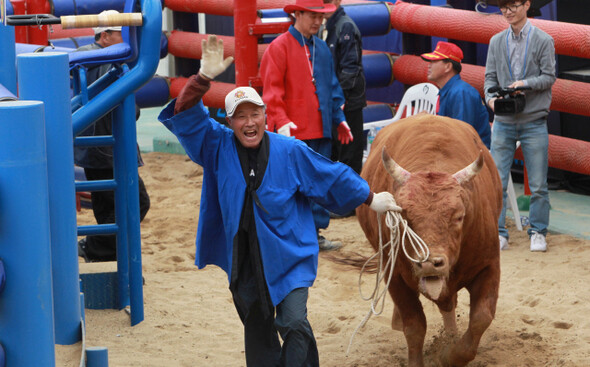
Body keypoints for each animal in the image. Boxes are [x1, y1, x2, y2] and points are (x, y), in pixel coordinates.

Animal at [356, 113, 504, 366]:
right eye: (404, 216)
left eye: (459, 216)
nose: (428, 264)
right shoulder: (395, 276)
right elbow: (414, 325)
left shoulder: (489, 265)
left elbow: (481, 317)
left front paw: (450, 354)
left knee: (449, 304)